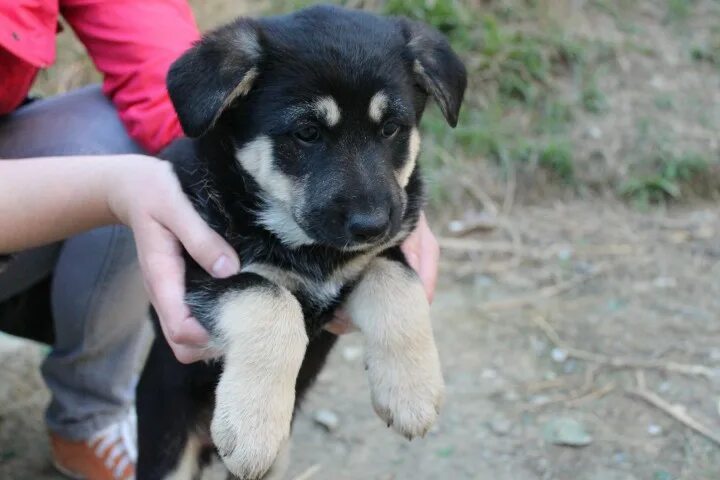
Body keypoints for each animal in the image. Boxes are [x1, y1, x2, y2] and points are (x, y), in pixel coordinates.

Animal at [136, 4, 466, 480]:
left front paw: (412, 390)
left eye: (391, 129)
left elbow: (398, 283)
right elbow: (270, 299)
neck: (308, 246)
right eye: (307, 133)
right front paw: (252, 426)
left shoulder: (382, 255)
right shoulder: (198, 270)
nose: (370, 225)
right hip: (168, 440)